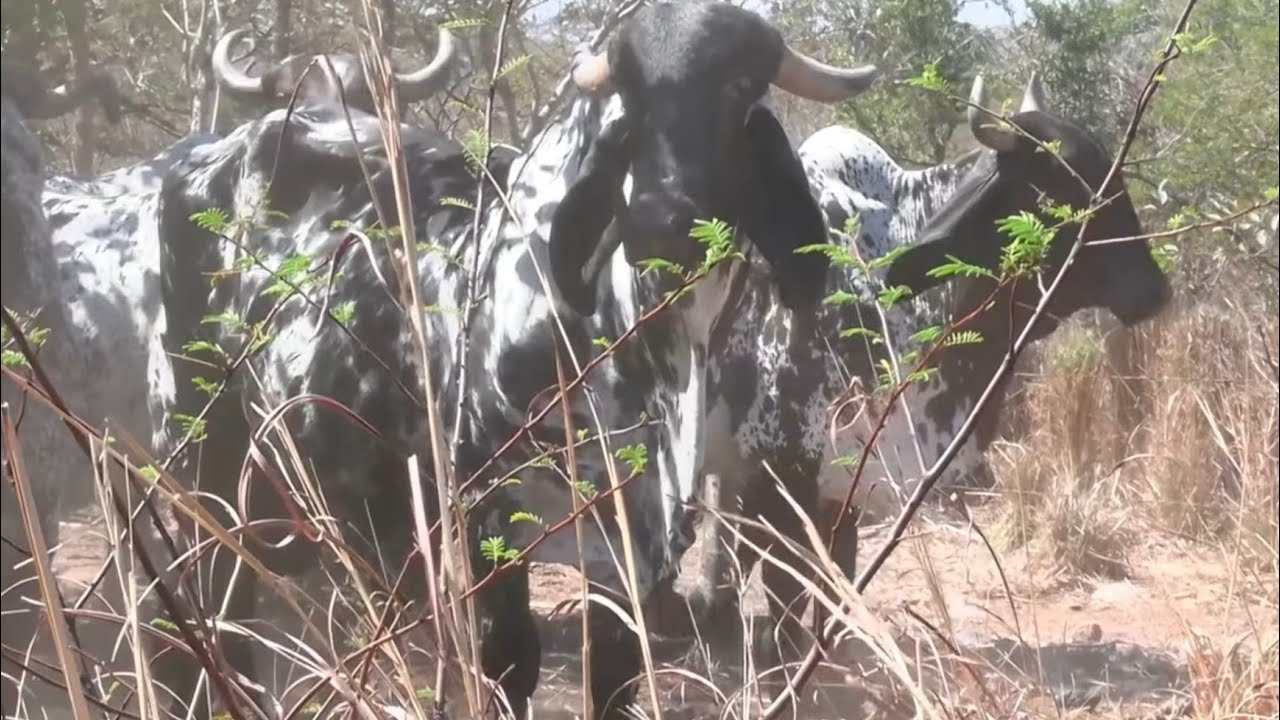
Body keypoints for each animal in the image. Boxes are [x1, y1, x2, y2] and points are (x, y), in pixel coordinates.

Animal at [147, 2, 879, 716]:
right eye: (631, 99)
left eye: (737, 88)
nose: (661, 224)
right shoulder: (486, 510)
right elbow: (510, 661)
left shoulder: (658, 535)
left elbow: (614, 672)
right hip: (208, 444)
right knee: (214, 594)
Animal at [673, 72, 1173, 671]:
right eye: (1060, 190)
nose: (1154, 289)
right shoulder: (778, 474)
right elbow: (787, 602)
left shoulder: (841, 486)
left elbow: (836, 586)